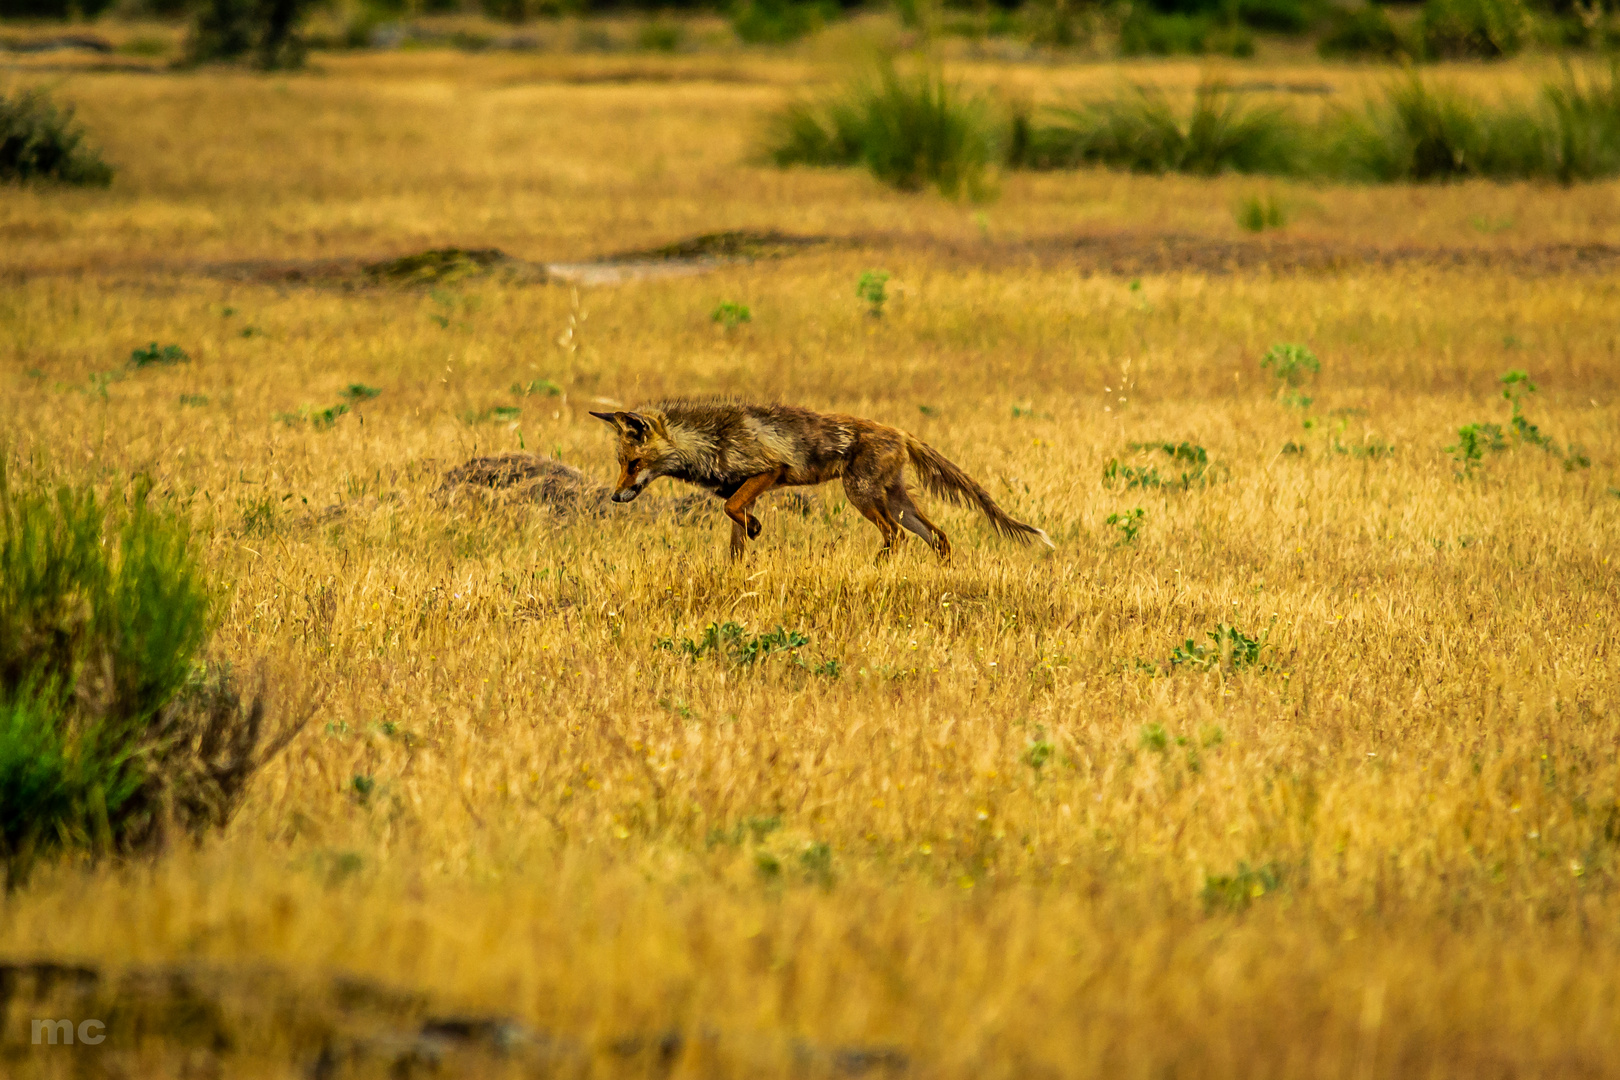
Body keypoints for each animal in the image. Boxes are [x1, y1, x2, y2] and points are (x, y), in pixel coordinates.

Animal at [589, 399, 1056, 566]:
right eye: (621, 464)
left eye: (633, 464)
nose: (616, 496)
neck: (707, 440)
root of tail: (901, 432)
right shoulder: (743, 487)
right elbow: (734, 534)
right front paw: (736, 570)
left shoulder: (769, 471)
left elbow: (732, 509)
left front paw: (756, 530)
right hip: (896, 501)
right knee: (938, 537)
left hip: (862, 495)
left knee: (896, 536)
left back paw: (877, 569)